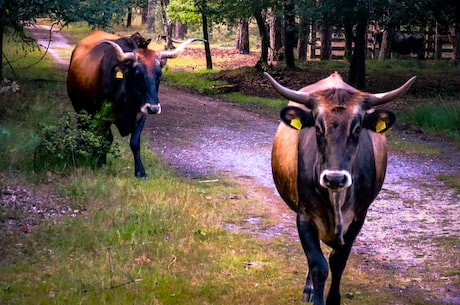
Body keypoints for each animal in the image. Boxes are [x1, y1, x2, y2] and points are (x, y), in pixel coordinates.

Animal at [67, 29, 204, 177]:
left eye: (159, 75)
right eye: (138, 75)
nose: (153, 108)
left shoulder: (141, 115)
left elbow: (135, 143)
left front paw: (140, 171)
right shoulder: (103, 117)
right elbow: (106, 139)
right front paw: (100, 162)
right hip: (80, 109)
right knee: (84, 130)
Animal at [264, 72, 416, 304]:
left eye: (357, 128)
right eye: (318, 128)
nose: (335, 178)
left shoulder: (358, 218)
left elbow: (338, 261)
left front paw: (333, 298)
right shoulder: (304, 216)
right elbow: (318, 265)